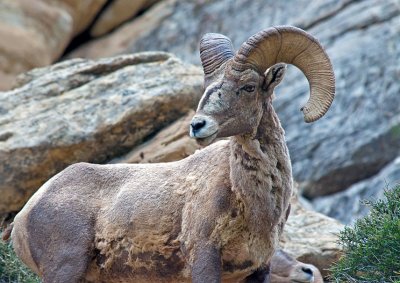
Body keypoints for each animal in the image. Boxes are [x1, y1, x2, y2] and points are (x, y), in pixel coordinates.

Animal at [10, 25, 334, 282]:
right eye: (207, 87)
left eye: (249, 87)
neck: (254, 203)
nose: (198, 125)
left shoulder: (256, 270)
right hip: (65, 269)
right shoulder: (205, 258)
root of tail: (24, 216)